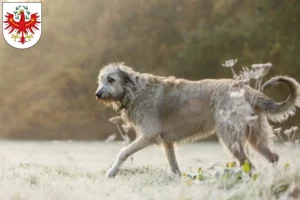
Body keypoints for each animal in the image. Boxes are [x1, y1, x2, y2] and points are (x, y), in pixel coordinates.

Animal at [95, 63, 300, 178]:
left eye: (111, 79)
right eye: (101, 79)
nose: (97, 94)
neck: (134, 90)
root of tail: (247, 89)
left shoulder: (149, 135)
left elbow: (123, 152)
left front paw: (111, 172)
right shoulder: (167, 141)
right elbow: (174, 165)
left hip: (230, 137)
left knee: (248, 164)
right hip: (255, 136)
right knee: (273, 157)